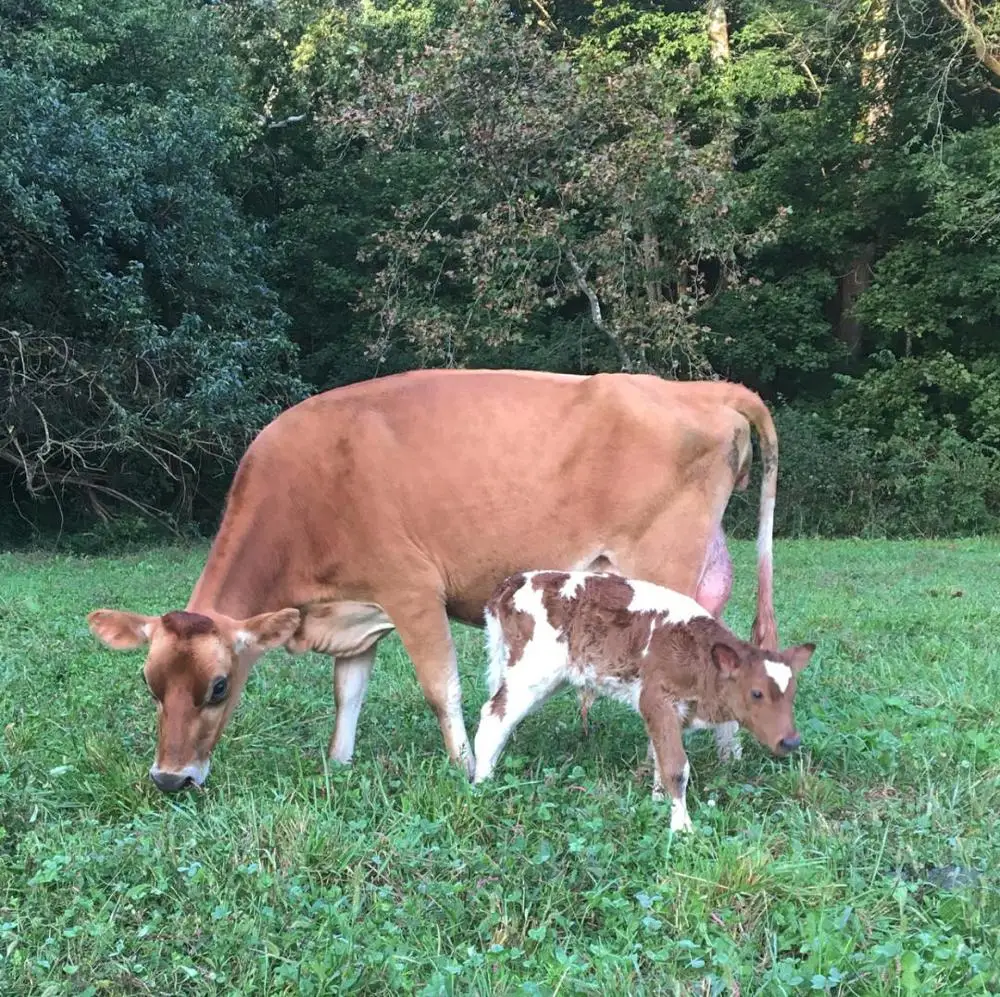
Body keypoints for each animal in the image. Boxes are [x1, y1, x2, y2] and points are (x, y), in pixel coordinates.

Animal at [86, 368, 780, 792]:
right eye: (151, 684)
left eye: (219, 686)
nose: (169, 778)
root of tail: (704, 389)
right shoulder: (357, 615)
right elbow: (348, 694)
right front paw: (338, 763)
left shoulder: (412, 590)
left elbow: (440, 690)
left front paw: (465, 768)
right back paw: (728, 756)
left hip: (666, 565)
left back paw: (657, 769)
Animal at [473, 570, 814, 831]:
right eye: (756, 693)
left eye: (792, 693)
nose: (791, 741)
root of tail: (513, 582)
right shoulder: (656, 698)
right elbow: (676, 766)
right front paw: (682, 827)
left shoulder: (667, 711)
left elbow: (661, 757)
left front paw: (658, 801)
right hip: (532, 671)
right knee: (494, 715)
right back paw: (482, 781)